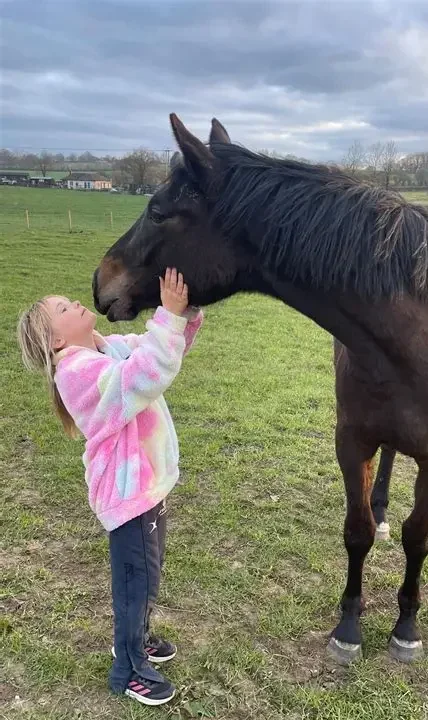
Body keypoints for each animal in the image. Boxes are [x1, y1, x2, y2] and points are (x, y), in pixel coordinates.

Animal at [93, 114, 428, 666]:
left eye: (159, 212)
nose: (100, 281)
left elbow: (417, 537)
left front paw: (406, 627)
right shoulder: (351, 439)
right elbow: (357, 532)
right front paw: (349, 627)